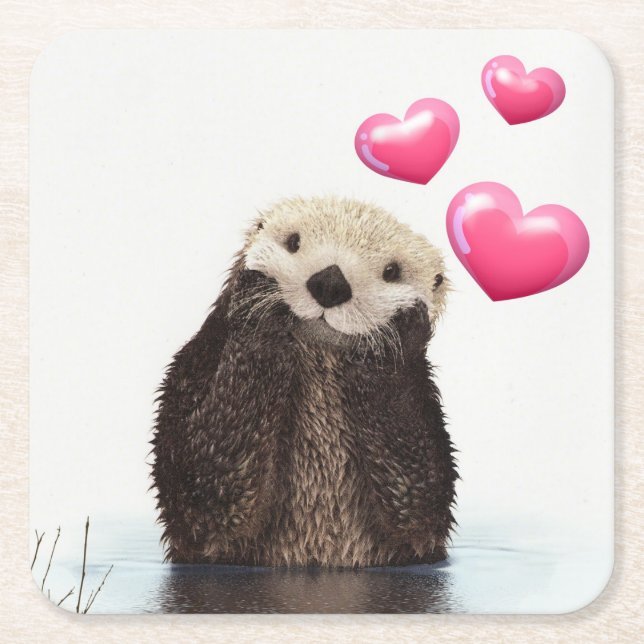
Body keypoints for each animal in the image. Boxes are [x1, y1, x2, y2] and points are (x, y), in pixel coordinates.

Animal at [151, 196, 457, 567]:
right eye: (293, 242)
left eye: (392, 271)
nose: (331, 283)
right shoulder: (194, 368)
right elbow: (204, 487)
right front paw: (259, 304)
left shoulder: (424, 410)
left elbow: (419, 499)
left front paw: (395, 334)